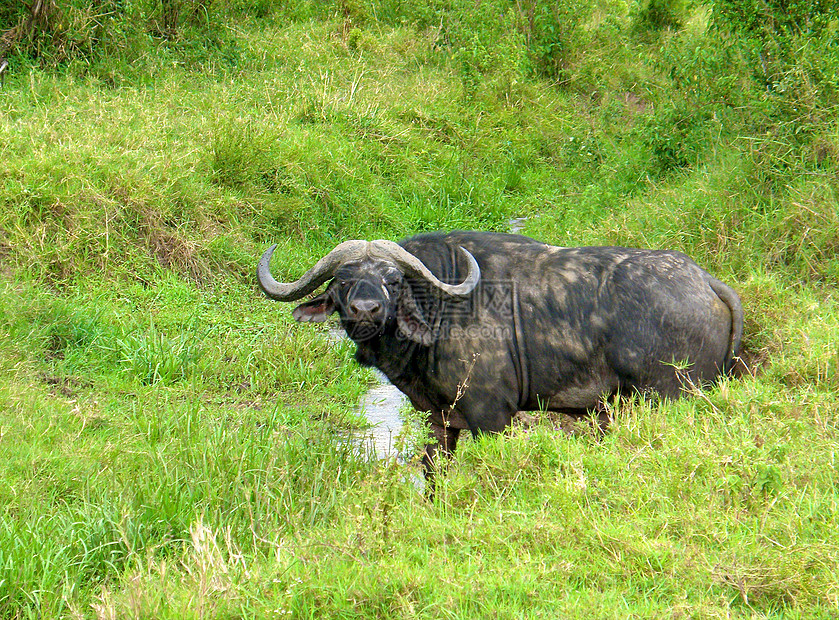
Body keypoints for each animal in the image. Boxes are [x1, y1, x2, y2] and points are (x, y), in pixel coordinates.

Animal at [256, 232, 740, 480]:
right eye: (342, 280)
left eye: (393, 280)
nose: (365, 310)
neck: (442, 310)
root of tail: (705, 281)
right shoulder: (439, 420)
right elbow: (432, 472)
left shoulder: (492, 416)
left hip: (669, 397)